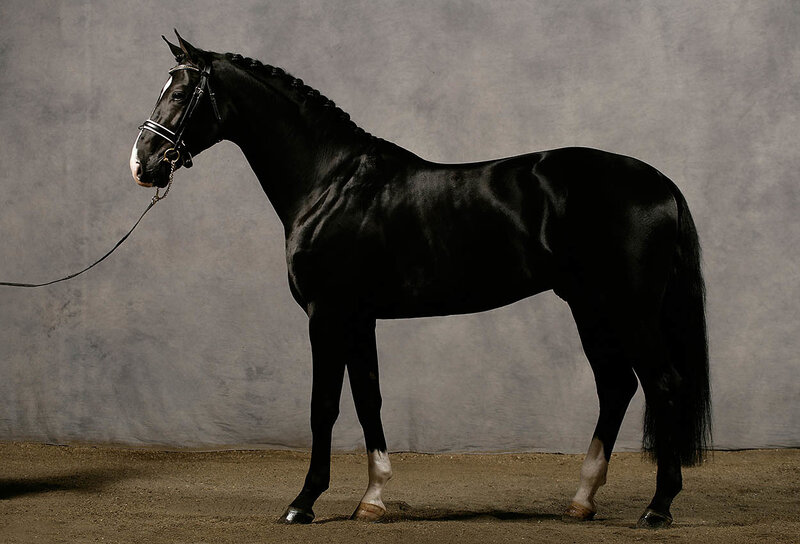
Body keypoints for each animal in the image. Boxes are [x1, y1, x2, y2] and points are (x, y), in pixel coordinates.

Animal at [130, 31, 710, 529]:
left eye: (179, 93)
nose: (143, 164)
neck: (330, 181)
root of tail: (661, 183)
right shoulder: (358, 317)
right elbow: (368, 398)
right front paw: (372, 498)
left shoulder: (327, 314)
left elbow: (324, 406)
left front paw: (303, 502)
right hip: (589, 305)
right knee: (617, 385)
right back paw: (583, 498)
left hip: (628, 308)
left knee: (662, 384)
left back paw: (658, 507)